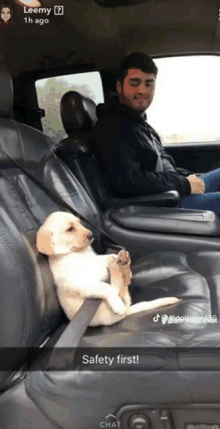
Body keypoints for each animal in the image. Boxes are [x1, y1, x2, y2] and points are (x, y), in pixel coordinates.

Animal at [36, 212, 180, 326]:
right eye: (70, 229)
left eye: (80, 224)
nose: (91, 235)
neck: (78, 253)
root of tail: (128, 312)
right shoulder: (83, 284)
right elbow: (107, 288)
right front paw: (117, 304)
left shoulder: (96, 261)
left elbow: (105, 257)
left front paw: (118, 259)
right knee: (119, 289)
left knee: (123, 283)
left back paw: (123, 264)